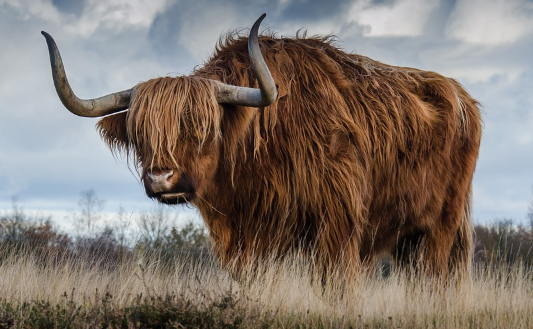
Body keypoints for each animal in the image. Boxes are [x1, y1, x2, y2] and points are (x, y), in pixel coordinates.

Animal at [42, 14, 482, 278]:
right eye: (140, 134)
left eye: (203, 128)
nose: (161, 178)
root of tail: (463, 96)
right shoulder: (247, 239)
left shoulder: (337, 225)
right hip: (410, 236)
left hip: (440, 227)